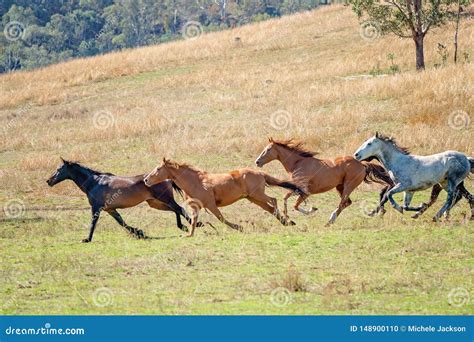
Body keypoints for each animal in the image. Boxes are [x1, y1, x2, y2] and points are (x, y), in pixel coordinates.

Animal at [46, 158, 194, 243]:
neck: (94, 182)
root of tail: (168, 178)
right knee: (176, 210)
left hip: (164, 199)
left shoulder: (96, 208)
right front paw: (139, 233)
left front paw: (87, 239)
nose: (48, 181)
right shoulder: (110, 209)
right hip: (155, 203)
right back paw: (186, 226)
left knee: (179, 208)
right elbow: (121, 222)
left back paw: (191, 225)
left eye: (58, 169)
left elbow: (93, 223)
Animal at [143, 158, 306, 236]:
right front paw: (189, 234)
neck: (195, 181)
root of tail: (260, 173)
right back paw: (287, 222)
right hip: (254, 198)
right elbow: (194, 220)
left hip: (257, 194)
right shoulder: (196, 207)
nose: (146, 180)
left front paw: (239, 227)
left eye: (158, 169)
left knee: (273, 200)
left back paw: (287, 220)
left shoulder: (211, 205)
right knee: (270, 208)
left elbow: (220, 218)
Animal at [254, 138, 394, 226]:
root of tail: (362, 164)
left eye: (267, 150)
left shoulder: (305, 192)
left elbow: (296, 205)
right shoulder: (296, 189)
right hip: (340, 187)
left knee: (342, 203)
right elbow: (285, 198)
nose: (257, 162)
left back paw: (329, 221)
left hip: (348, 186)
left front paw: (312, 210)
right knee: (347, 203)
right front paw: (288, 218)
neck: (297, 163)